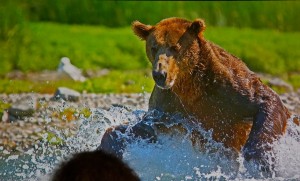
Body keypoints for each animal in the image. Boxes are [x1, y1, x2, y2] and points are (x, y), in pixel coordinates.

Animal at [99, 17, 292, 171]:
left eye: (175, 47)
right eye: (153, 47)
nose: (160, 74)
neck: (189, 84)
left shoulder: (227, 88)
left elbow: (265, 100)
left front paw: (258, 159)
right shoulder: (170, 106)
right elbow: (142, 128)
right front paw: (110, 143)